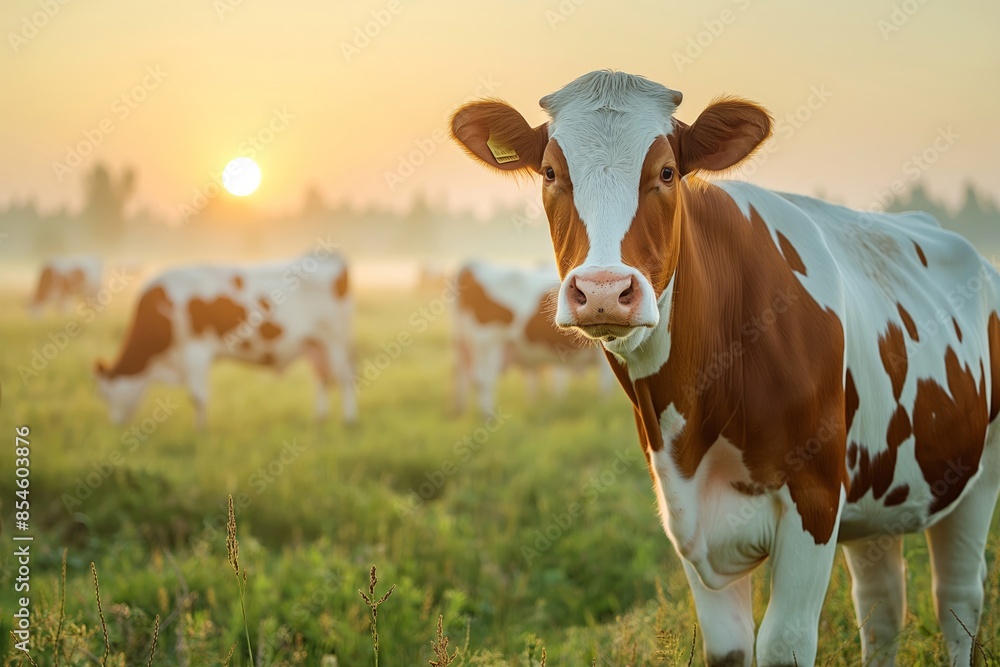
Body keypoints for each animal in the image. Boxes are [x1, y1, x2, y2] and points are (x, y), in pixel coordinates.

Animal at [93, 255, 357, 428]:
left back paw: (348, 420)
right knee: (322, 376)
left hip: (335, 341)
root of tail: (328, 257)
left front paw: (200, 432)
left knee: (345, 378)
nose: (114, 426)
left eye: (104, 394)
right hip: (315, 345)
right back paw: (319, 418)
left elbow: (197, 396)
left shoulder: (195, 351)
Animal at [454, 260, 610, 415]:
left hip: (467, 346)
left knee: (463, 378)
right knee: (483, 379)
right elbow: (605, 383)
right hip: (488, 343)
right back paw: (487, 415)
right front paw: (605, 407)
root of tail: (473, 265)